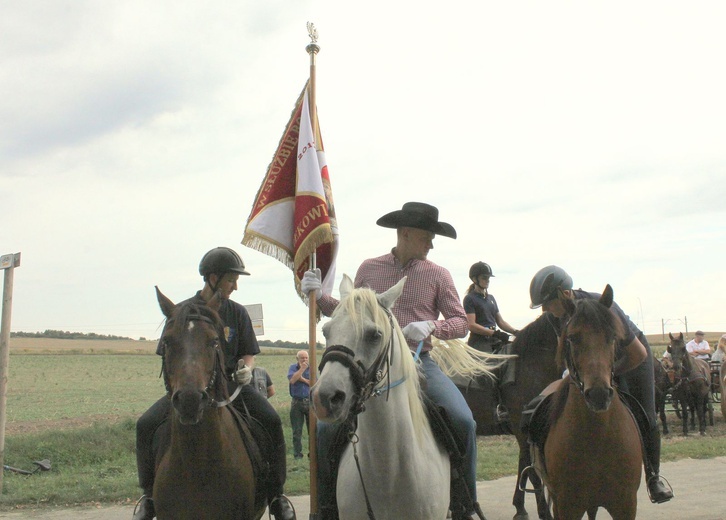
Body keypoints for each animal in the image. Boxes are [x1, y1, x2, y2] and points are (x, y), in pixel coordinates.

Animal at [456, 312, 564, 520]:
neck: (531, 366)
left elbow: (524, 467)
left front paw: (520, 508)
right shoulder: (524, 431)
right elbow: (532, 472)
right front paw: (544, 513)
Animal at [540, 286, 644, 516]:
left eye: (612, 336)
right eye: (572, 338)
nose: (598, 394)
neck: (596, 436)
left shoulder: (626, 504)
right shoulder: (566, 506)